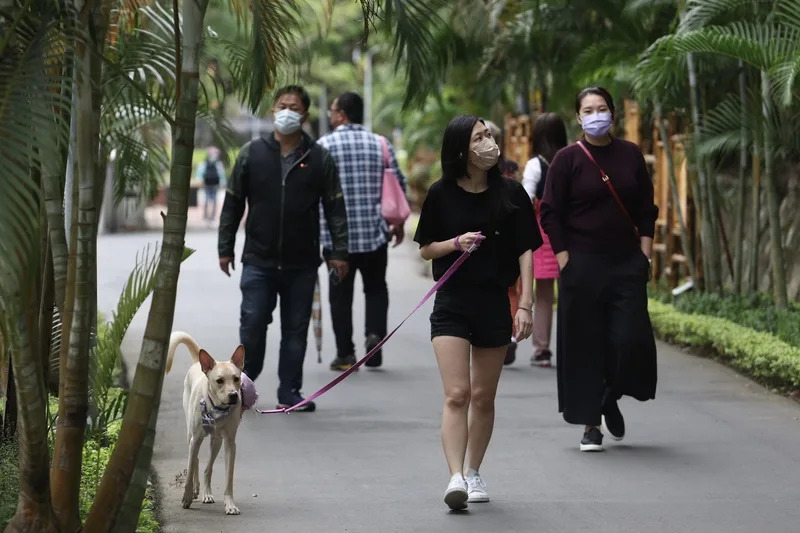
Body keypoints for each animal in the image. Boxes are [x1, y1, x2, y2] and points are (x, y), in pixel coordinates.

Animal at [166, 330, 244, 512]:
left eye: (236, 378)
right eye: (219, 380)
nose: (233, 395)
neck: (217, 408)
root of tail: (197, 362)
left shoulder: (230, 443)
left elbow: (229, 478)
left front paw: (230, 504)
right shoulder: (196, 438)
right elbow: (189, 472)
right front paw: (186, 497)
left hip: (216, 441)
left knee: (208, 467)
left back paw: (207, 494)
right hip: (191, 435)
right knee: (194, 460)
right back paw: (195, 489)